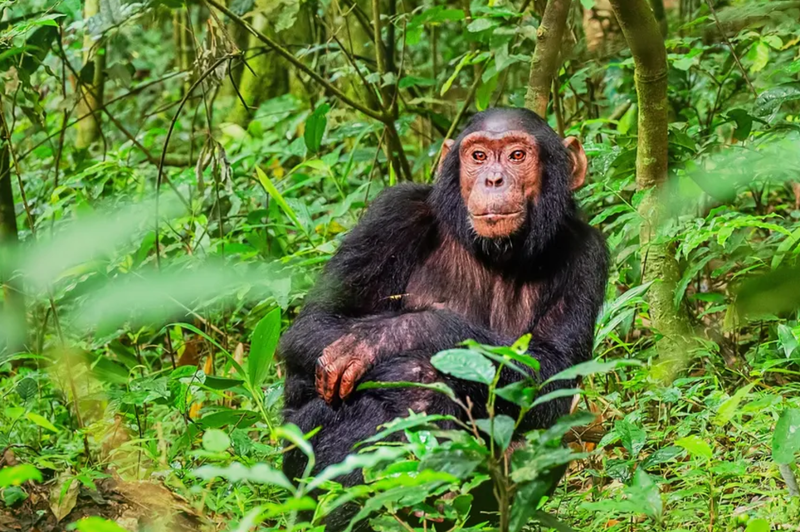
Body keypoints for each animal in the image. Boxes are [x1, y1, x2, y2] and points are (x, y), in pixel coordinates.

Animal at [278, 104, 608, 512]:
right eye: (478, 156)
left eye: (517, 155)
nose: (494, 179)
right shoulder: (393, 213)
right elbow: (315, 323)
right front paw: (411, 376)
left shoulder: (587, 255)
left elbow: (553, 375)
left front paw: (392, 338)